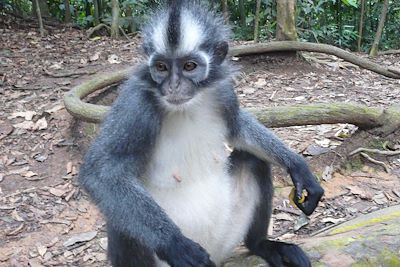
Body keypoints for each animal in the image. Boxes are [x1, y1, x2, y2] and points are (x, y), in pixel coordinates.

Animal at [79, 1, 324, 266]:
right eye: (162, 67)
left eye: (189, 66)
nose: (173, 86)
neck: (188, 104)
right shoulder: (135, 103)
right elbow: (101, 173)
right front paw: (176, 244)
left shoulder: (224, 92)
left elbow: (238, 129)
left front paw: (297, 166)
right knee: (118, 214)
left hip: (224, 238)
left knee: (253, 159)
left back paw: (262, 245)